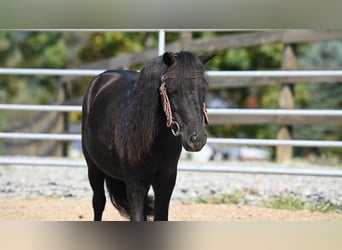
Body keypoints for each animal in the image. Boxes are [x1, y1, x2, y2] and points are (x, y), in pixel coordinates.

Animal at [82, 51, 214, 221]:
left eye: (203, 88)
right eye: (173, 90)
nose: (197, 139)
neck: (156, 142)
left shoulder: (166, 181)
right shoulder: (135, 183)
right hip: (93, 168)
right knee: (98, 202)